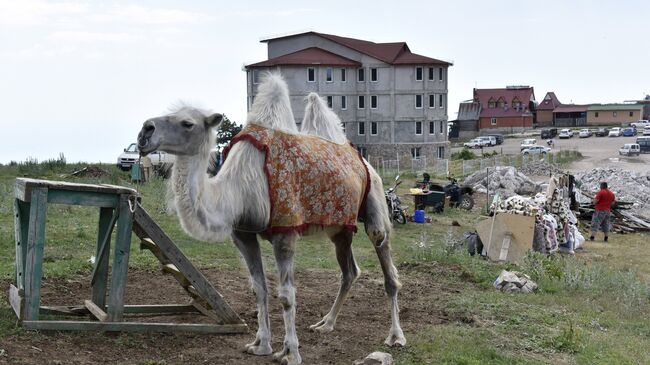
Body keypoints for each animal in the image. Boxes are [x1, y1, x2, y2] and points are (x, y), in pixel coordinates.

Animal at [137, 74, 402, 364]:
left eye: (188, 122)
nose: (145, 131)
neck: (239, 189)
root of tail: (361, 158)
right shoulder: (243, 234)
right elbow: (259, 288)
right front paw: (260, 345)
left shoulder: (284, 232)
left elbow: (286, 296)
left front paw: (291, 353)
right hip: (339, 228)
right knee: (349, 271)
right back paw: (326, 324)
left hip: (375, 206)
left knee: (387, 266)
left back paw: (395, 336)